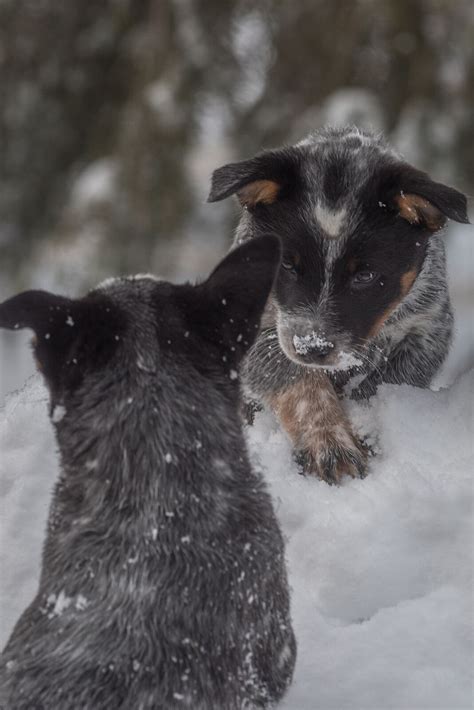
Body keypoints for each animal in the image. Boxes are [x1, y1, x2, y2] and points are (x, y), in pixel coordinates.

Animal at [209, 126, 468, 484]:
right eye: (287, 265)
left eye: (365, 275)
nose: (312, 347)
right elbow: (301, 384)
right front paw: (329, 443)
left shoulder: (427, 328)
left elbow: (381, 385)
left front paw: (363, 428)